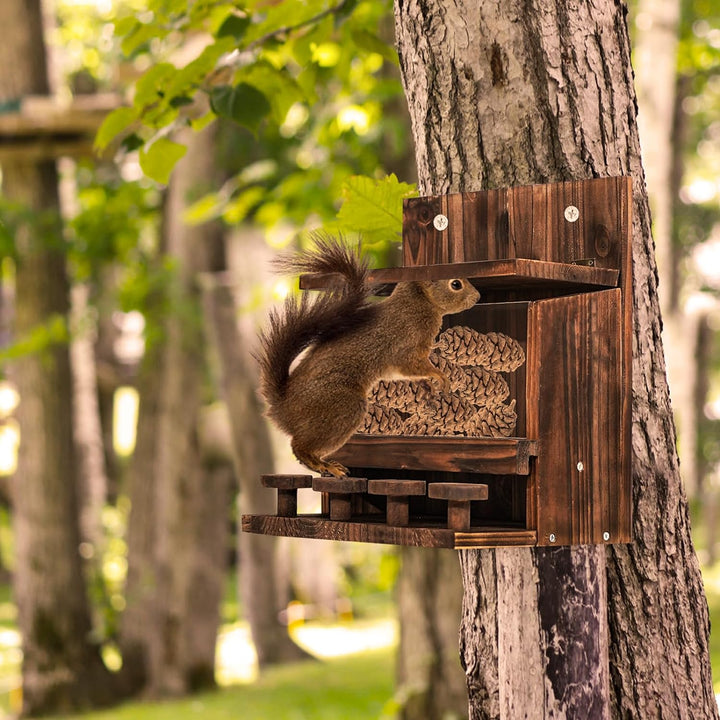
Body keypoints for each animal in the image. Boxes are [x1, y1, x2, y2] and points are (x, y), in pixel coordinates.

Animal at [256, 234, 480, 477]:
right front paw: (440, 376)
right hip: (342, 408)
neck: (418, 303)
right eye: (456, 284)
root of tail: (283, 407)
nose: (478, 297)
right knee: (300, 446)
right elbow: (412, 365)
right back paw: (325, 465)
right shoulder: (407, 345)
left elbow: (407, 374)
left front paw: (428, 384)